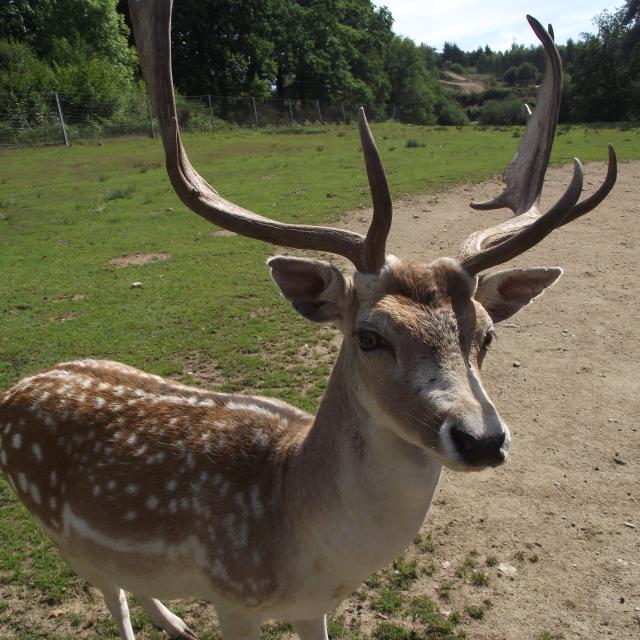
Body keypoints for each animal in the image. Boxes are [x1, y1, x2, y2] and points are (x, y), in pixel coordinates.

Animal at [1, 5, 620, 640]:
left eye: (488, 335)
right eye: (369, 336)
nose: (483, 439)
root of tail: (17, 388)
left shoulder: (316, 605)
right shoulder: (233, 597)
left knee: (132, 582)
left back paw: (177, 624)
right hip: (58, 529)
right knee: (111, 594)